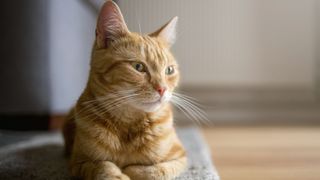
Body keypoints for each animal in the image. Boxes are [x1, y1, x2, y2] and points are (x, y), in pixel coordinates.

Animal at [62, 0, 188, 179]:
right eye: (138, 67)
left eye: (169, 70)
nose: (162, 89)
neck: (128, 125)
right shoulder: (78, 163)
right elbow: (102, 166)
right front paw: (118, 174)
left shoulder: (180, 156)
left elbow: (157, 170)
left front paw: (134, 170)